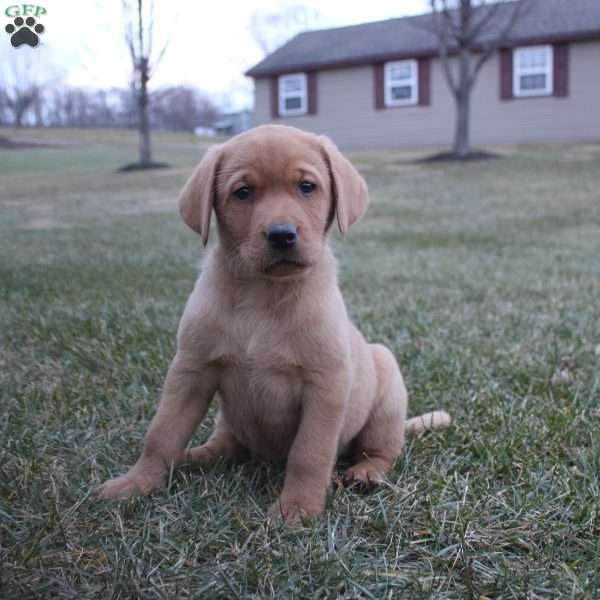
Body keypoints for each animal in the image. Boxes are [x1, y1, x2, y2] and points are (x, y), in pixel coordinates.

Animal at [99, 123, 450, 520]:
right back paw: (196, 457)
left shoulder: (325, 386)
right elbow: (162, 434)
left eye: (307, 186)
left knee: (384, 450)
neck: (263, 296)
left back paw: (366, 473)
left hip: (386, 382)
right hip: (229, 417)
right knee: (226, 441)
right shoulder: (191, 370)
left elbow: (309, 454)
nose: (282, 234)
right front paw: (137, 483)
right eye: (243, 192)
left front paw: (296, 509)